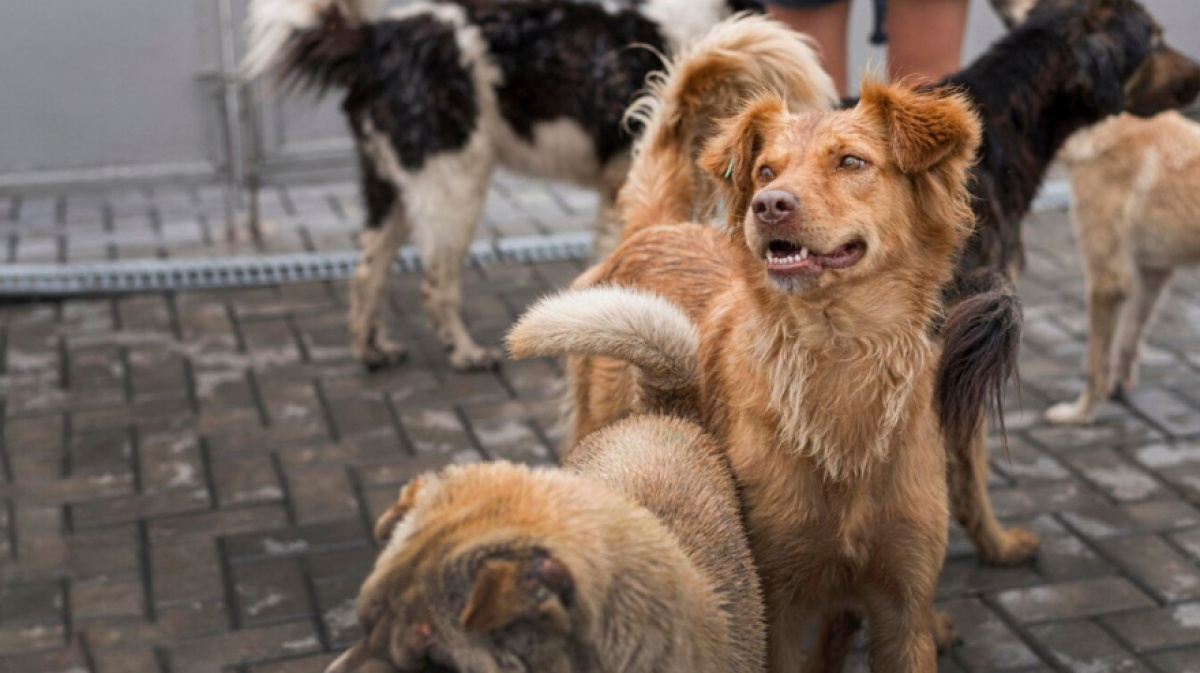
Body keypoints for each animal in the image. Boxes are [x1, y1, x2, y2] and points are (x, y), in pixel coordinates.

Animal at [242, 0, 811, 369]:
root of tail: (377, 40)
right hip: (453, 184)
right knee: (435, 282)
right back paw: (465, 353)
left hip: (391, 186)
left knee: (366, 272)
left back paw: (372, 349)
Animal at [1046, 110, 1200, 422]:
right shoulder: (1152, 272)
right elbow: (1128, 339)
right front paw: (1118, 387)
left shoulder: (1106, 279)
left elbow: (1095, 365)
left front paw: (1080, 414)